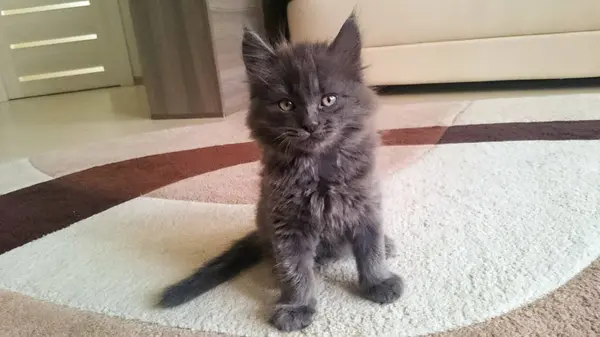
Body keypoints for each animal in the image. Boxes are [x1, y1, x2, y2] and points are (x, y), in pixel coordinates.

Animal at [159, 16, 404, 330]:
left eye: (328, 100)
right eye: (286, 104)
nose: (310, 124)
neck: (319, 170)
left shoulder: (366, 203)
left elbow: (370, 248)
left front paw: (378, 282)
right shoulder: (287, 224)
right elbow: (294, 269)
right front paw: (296, 306)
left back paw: (386, 243)